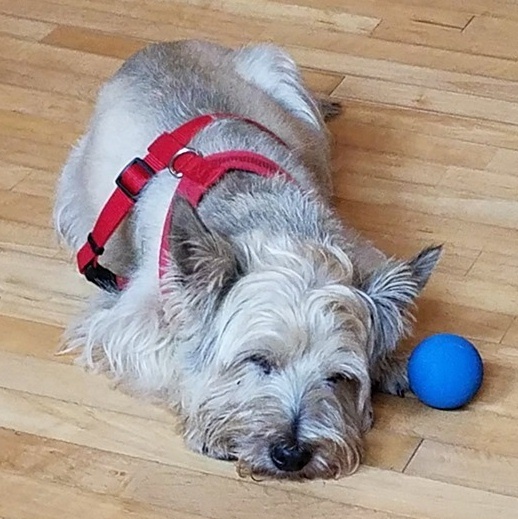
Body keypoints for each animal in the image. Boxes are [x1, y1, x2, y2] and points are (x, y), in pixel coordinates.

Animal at [53, 39, 442, 480]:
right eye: (258, 361)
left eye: (337, 378)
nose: (292, 454)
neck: (280, 227)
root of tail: (161, 45)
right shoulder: (128, 320)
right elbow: (175, 357)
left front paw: (388, 362)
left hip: (284, 79)